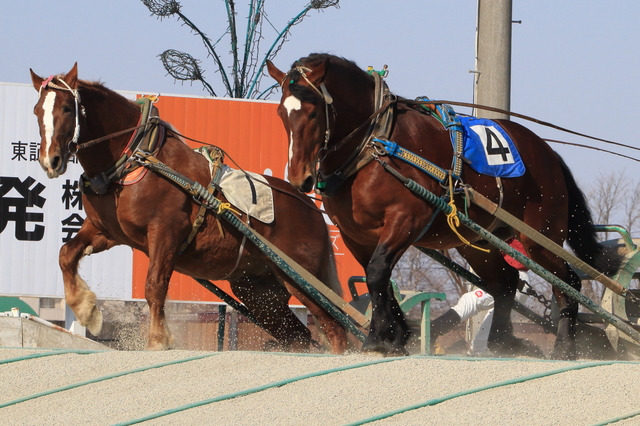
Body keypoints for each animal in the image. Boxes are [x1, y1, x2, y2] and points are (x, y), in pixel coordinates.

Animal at [29, 63, 347, 353]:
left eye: (67, 109)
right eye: (36, 111)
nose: (50, 160)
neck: (135, 159)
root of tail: (312, 209)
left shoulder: (166, 232)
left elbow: (154, 286)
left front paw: (158, 340)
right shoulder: (105, 231)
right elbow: (66, 254)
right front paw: (87, 311)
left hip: (304, 280)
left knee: (335, 328)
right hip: (260, 289)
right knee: (300, 337)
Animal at [266, 53, 620, 359]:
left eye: (313, 112)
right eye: (282, 114)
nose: (299, 178)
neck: (375, 145)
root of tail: (548, 153)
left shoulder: (407, 218)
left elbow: (378, 272)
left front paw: (379, 337)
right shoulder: (355, 234)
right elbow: (377, 277)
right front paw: (395, 335)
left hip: (539, 236)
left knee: (568, 281)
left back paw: (565, 346)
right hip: (478, 241)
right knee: (504, 283)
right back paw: (504, 341)